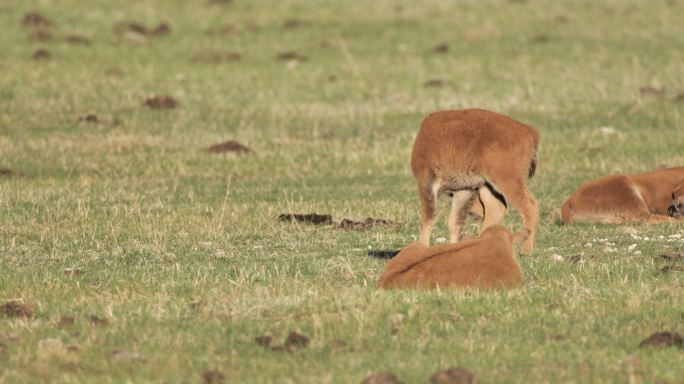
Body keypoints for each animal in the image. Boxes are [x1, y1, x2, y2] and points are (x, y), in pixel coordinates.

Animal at [412, 109, 540, 252]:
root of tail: (529, 132)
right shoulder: (464, 189)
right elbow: (455, 222)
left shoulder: (427, 183)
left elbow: (428, 218)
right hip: (488, 185)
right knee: (496, 208)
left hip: (507, 180)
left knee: (530, 206)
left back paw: (526, 250)